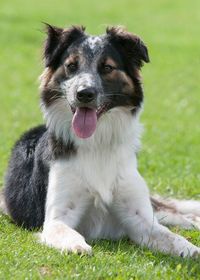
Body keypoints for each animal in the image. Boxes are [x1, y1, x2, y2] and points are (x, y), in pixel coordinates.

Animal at [0, 25, 200, 258]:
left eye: (107, 67)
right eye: (71, 66)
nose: (84, 94)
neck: (97, 142)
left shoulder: (141, 219)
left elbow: (173, 238)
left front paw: (191, 248)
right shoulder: (56, 218)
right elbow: (66, 232)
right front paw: (77, 246)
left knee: (172, 213)